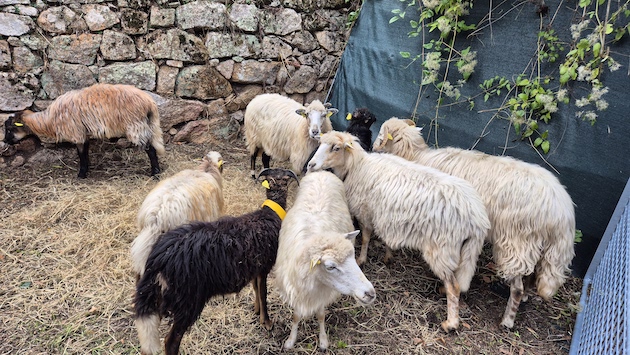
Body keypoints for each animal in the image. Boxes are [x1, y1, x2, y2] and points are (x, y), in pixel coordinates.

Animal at [134, 169, 302, 355]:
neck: (269, 214)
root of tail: (158, 258)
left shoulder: (255, 269)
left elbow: (256, 290)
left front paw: (257, 311)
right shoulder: (263, 267)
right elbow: (263, 293)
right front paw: (267, 322)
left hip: (159, 296)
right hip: (187, 301)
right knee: (170, 341)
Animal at [276, 172, 376, 350]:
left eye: (353, 256)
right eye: (330, 267)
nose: (370, 293)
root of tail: (323, 172)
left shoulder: (323, 291)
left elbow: (321, 315)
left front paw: (323, 341)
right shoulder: (296, 289)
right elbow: (296, 317)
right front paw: (290, 340)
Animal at [308, 131, 494, 334]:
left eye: (336, 148)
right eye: (320, 143)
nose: (311, 165)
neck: (357, 166)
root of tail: (477, 218)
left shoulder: (365, 212)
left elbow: (365, 237)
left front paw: (361, 259)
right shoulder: (388, 218)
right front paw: (388, 256)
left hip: (441, 248)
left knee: (454, 286)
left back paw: (451, 322)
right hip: (462, 249)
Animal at [376, 118, 576, 330]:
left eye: (381, 134)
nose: (373, 147)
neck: (417, 156)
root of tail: (562, 212)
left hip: (517, 242)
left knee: (517, 287)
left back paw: (507, 320)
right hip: (538, 244)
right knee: (532, 274)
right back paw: (526, 297)